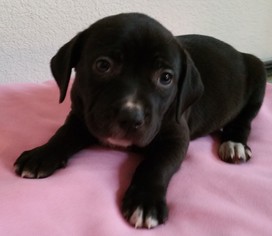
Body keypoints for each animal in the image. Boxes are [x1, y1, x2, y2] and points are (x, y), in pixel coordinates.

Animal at [13, 12, 266, 229]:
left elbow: (156, 164)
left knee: (244, 120)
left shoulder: (175, 137)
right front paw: (41, 154)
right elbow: (62, 134)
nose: (130, 117)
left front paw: (145, 201)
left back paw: (234, 144)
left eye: (166, 78)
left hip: (258, 76)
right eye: (103, 65)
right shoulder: (81, 116)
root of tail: (238, 52)